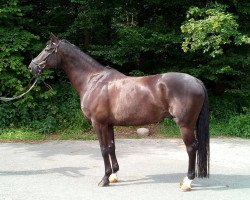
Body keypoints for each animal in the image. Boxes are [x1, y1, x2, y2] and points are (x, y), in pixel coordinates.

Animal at [28, 34, 209, 191]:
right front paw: (114, 175)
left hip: (185, 125)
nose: (32, 66)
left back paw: (187, 182)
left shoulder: (98, 124)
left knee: (191, 148)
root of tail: (196, 81)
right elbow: (111, 147)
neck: (93, 80)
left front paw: (104, 179)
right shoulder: (108, 124)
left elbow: (103, 149)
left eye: (47, 49)